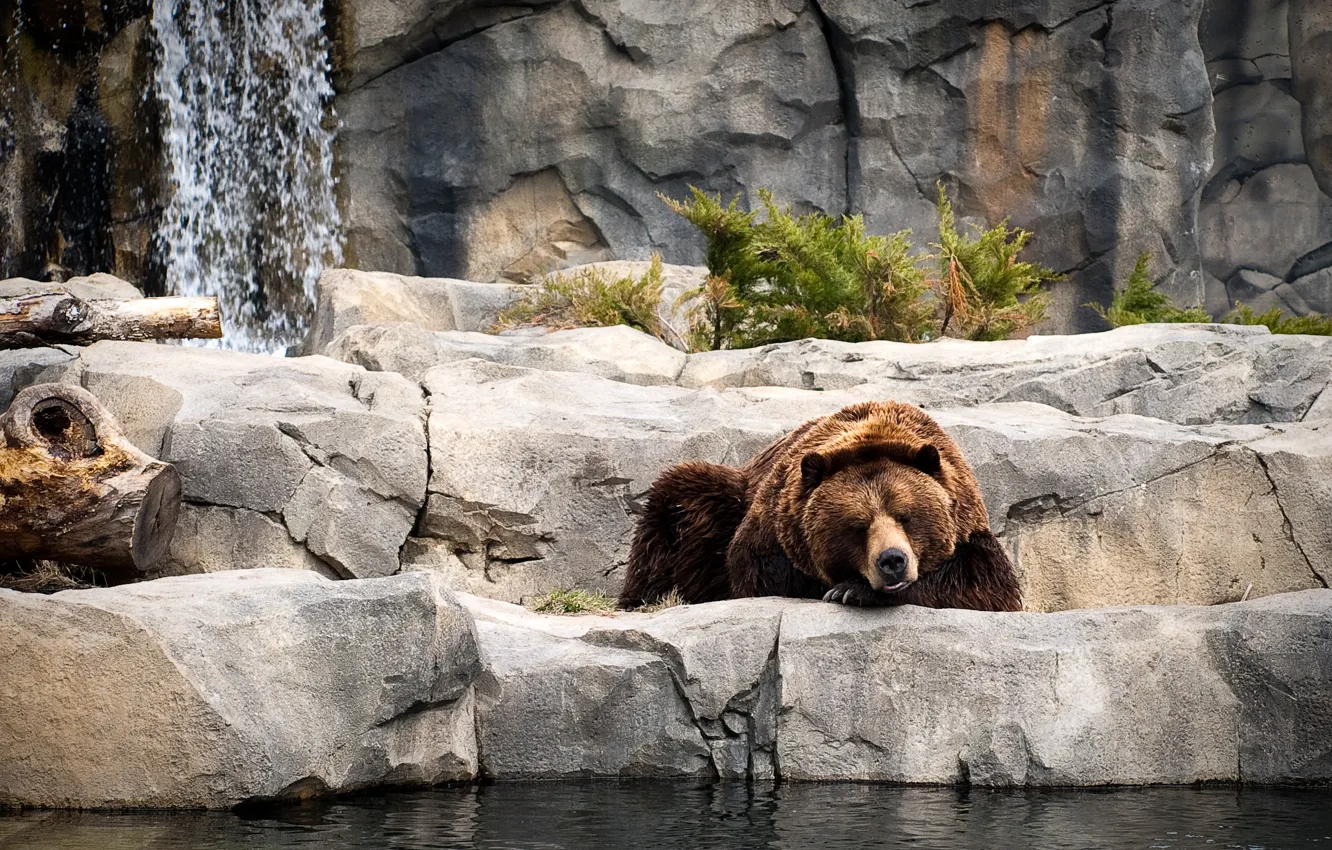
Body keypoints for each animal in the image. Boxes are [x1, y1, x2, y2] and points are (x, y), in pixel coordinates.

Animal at [618, 400, 1021, 611]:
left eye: (906, 516)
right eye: (858, 526)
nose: (892, 560)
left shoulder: (968, 524)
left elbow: (984, 584)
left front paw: (852, 590)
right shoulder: (773, 525)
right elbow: (761, 572)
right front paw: (845, 588)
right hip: (721, 501)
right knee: (677, 504)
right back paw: (641, 598)